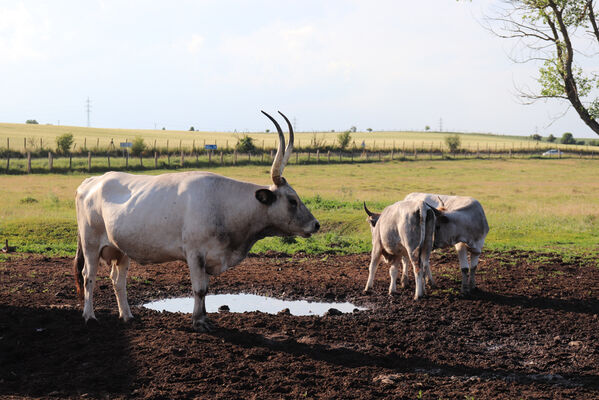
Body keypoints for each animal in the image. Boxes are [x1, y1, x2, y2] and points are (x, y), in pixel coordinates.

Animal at [75, 111, 322, 330]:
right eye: (292, 200)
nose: (316, 224)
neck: (223, 203)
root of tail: (92, 180)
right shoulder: (195, 254)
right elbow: (199, 289)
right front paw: (198, 322)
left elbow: (206, 289)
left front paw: (203, 318)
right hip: (91, 244)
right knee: (89, 276)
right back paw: (89, 317)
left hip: (121, 249)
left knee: (118, 280)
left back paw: (127, 316)